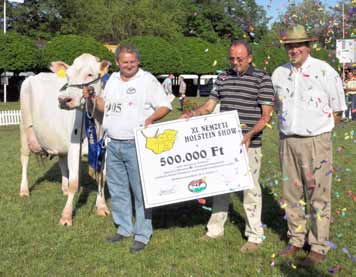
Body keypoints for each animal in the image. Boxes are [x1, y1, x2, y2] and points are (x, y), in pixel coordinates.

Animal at [19, 53, 110, 224]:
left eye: (90, 74)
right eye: (68, 76)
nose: (63, 100)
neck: (96, 122)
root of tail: (34, 76)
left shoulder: (105, 149)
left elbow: (102, 177)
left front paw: (101, 207)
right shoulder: (74, 146)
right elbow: (75, 182)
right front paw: (66, 216)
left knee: (61, 160)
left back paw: (64, 188)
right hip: (24, 128)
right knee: (24, 158)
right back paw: (24, 190)